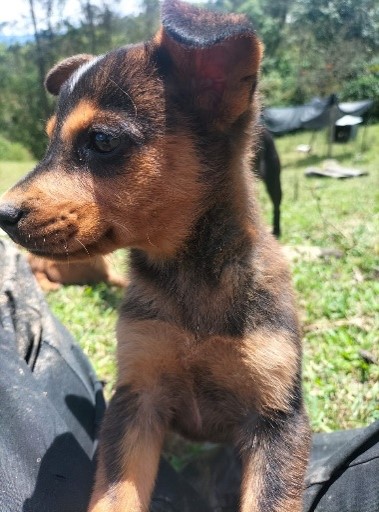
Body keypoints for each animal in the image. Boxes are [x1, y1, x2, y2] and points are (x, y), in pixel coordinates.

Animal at [0, 2, 310, 510]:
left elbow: (271, 498)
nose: (2, 215)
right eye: (48, 142)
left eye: (102, 141)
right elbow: (115, 495)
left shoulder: (276, 417)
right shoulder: (137, 397)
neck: (189, 276)